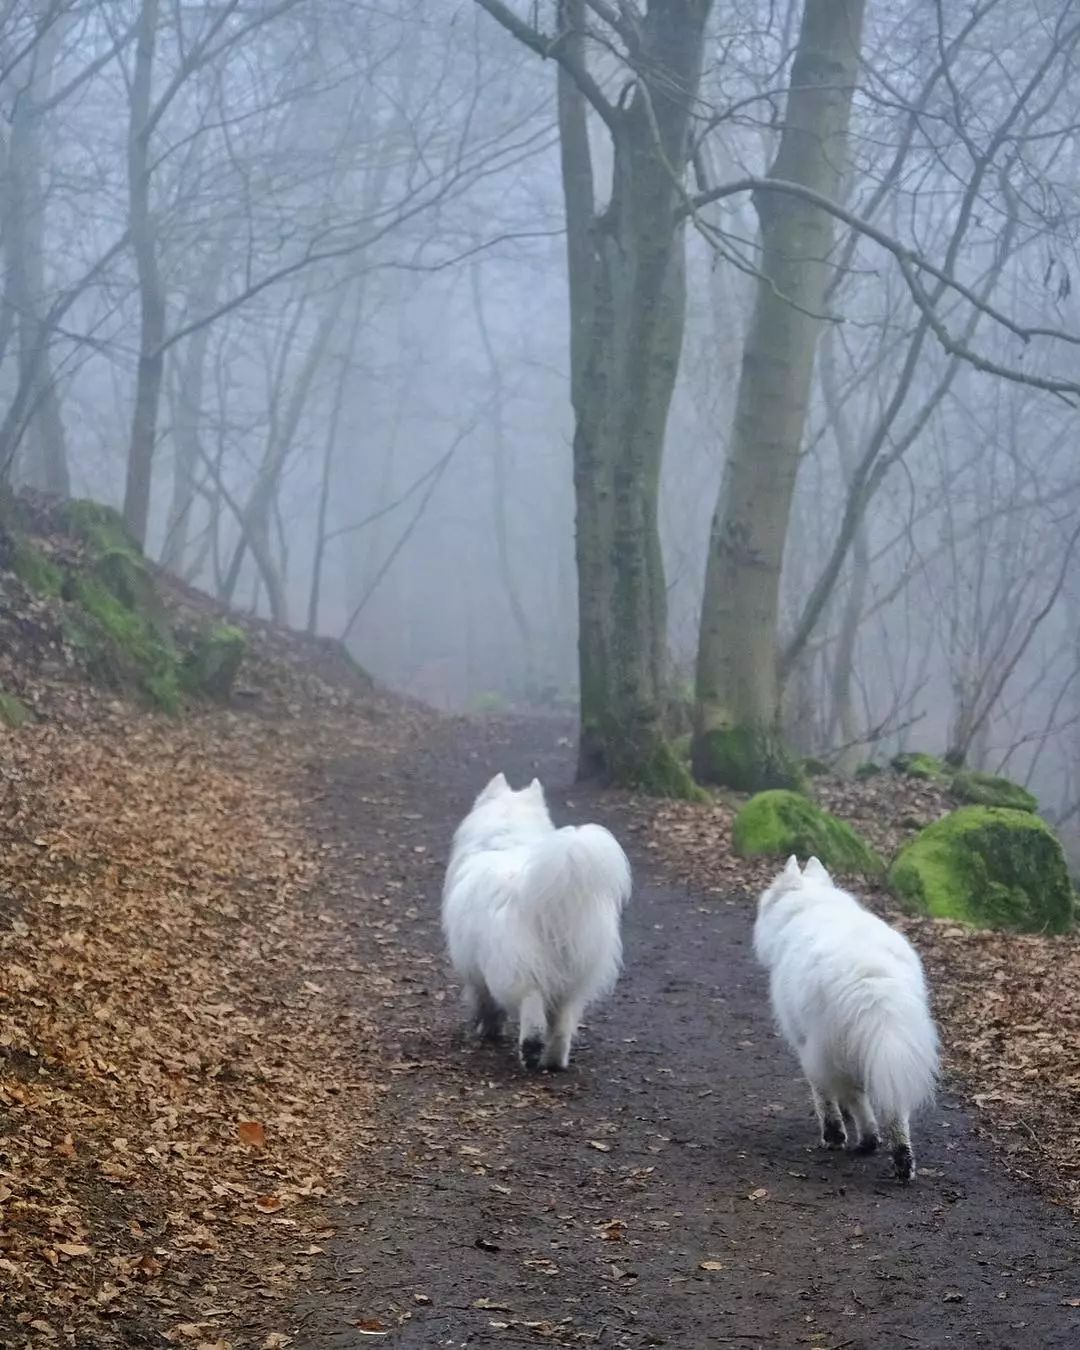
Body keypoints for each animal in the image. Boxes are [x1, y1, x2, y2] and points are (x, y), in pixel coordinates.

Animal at [442, 777, 631, 1069]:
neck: (506, 838)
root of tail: (553, 904)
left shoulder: (476, 971)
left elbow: (486, 1004)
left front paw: (487, 1030)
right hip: (575, 980)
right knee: (562, 1023)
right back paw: (554, 1060)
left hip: (518, 971)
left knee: (531, 1011)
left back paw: (530, 1052)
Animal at [756, 853, 939, 1182]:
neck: (810, 904)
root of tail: (871, 975)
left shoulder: (807, 1046)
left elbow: (824, 1094)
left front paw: (834, 1133)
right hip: (890, 1046)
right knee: (896, 1111)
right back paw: (902, 1162)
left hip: (831, 1045)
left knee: (857, 1097)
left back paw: (864, 1140)